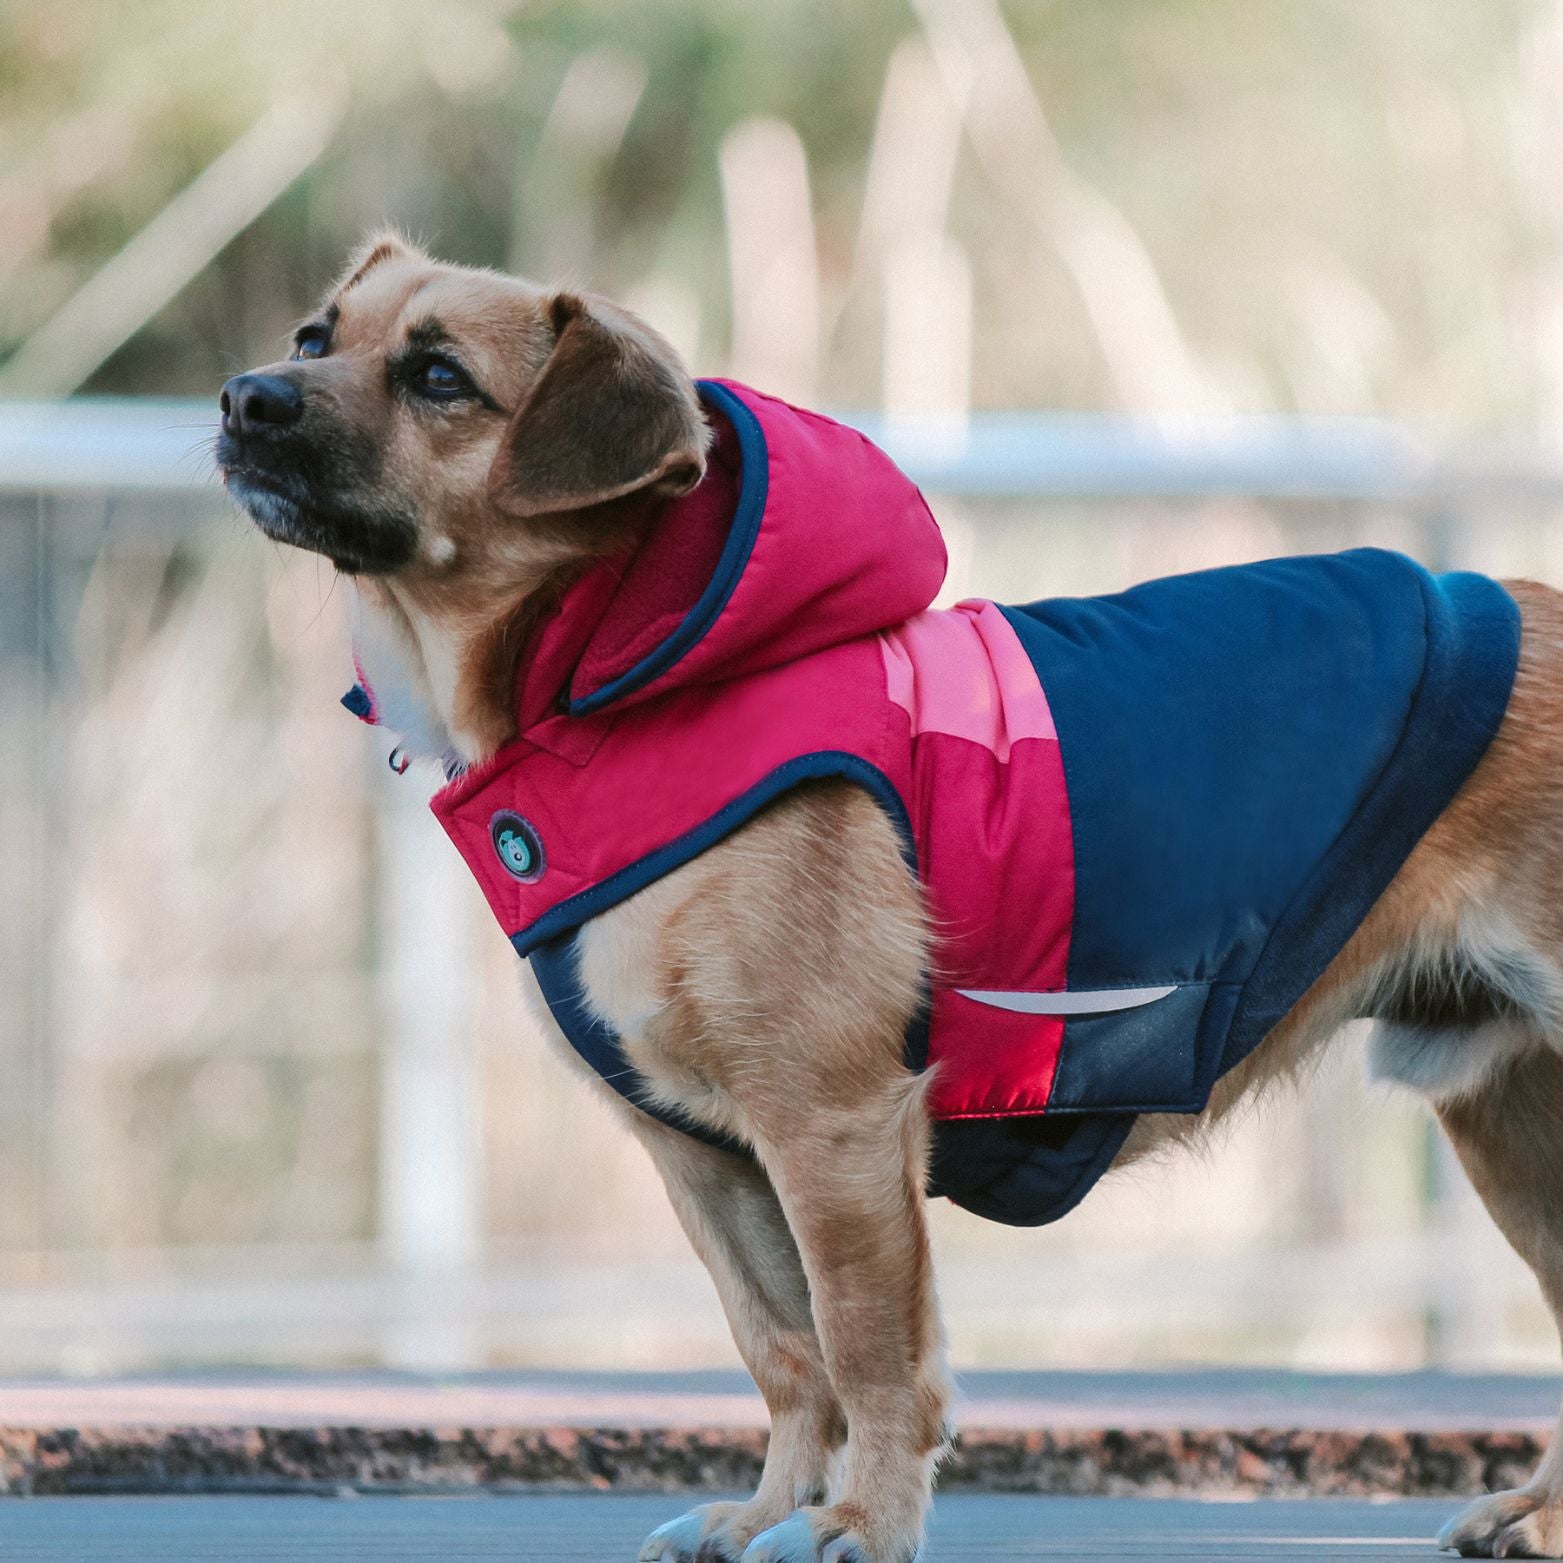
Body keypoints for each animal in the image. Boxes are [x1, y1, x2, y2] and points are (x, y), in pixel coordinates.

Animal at [214, 231, 1563, 1563]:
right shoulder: (708, 1161)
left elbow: (869, 1351)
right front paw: (770, 1509)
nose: (242, 397)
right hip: (1510, 1127)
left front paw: (863, 1521)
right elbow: (784, 1350)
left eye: (439, 377)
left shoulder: (835, 1131)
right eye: (316, 338)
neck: (614, 683)